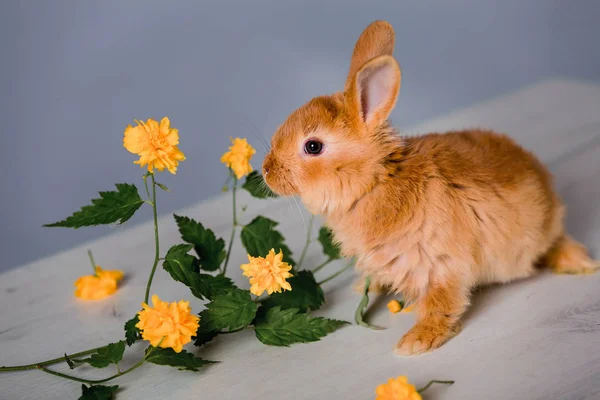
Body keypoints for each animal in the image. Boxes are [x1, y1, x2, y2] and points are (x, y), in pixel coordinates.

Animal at [260, 20, 596, 354]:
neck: (376, 181)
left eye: (313, 146)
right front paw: (364, 286)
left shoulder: (441, 265)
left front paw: (415, 342)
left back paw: (580, 264)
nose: (266, 170)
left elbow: (442, 304)